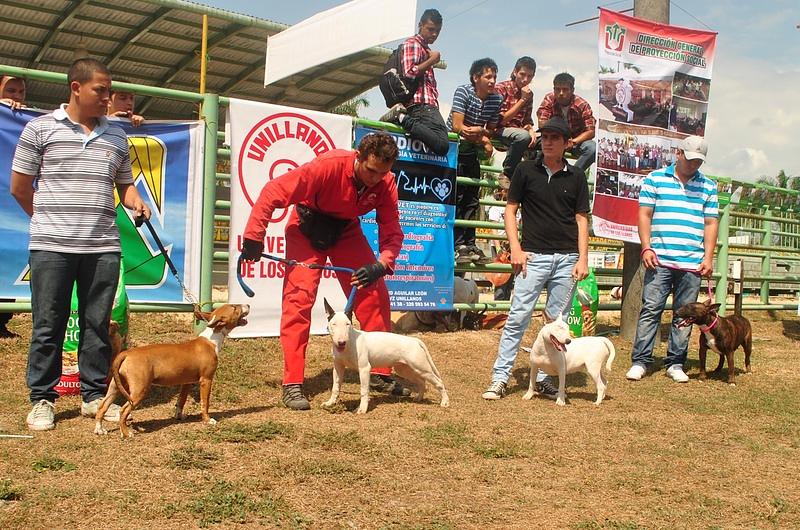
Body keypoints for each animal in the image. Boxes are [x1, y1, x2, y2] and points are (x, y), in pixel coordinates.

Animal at [92, 304, 247, 436]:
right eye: (235, 307)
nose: (248, 305)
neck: (211, 339)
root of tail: (126, 354)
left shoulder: (187, 382)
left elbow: (181, 401)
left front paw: (179, 416)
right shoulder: (206, 380)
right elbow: (205, 403)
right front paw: (208, 420)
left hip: (115, 386)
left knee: (102, 406)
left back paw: (99, 429)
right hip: (139, 390)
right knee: (123, 410)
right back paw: (126, 433)